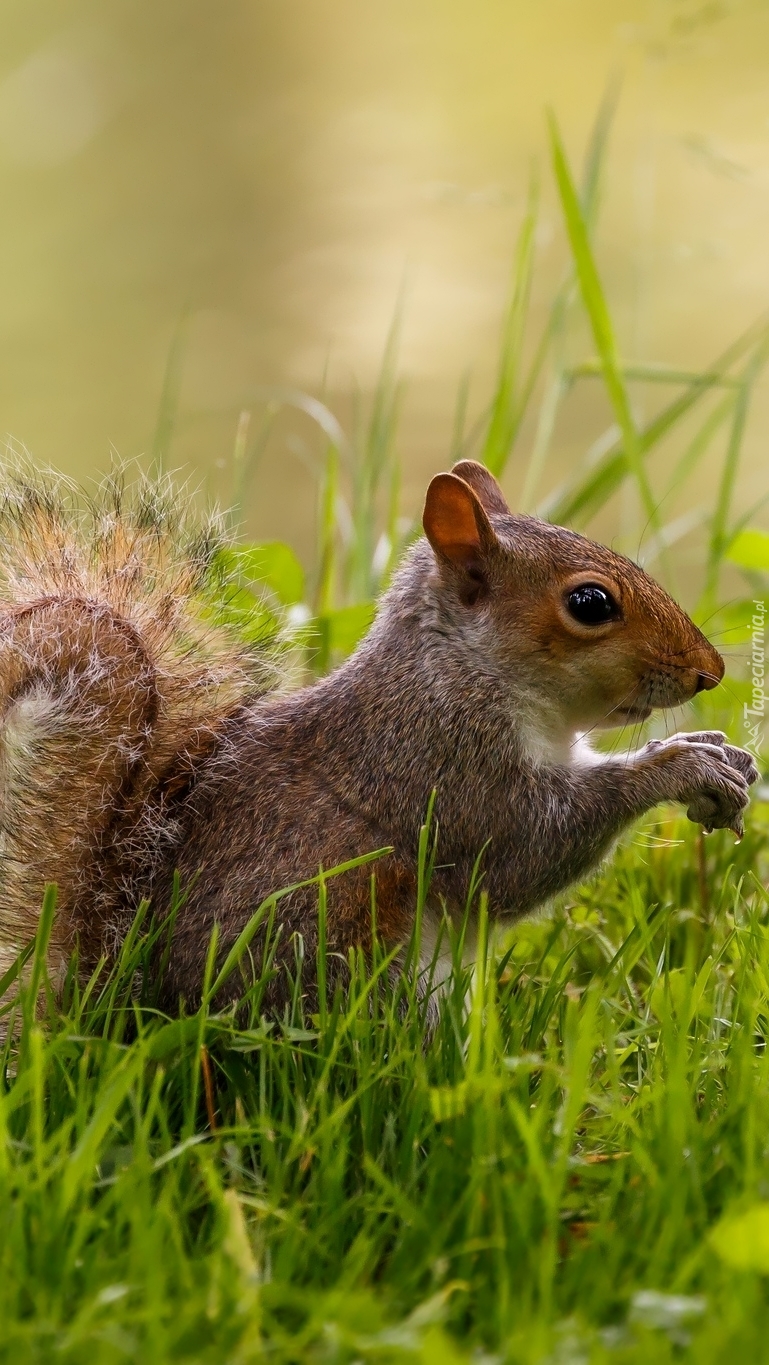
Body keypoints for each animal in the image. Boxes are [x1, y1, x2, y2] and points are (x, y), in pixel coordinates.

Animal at [0, 464, 759, 1010]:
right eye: (590, 602)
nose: (711, 671)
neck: (462, 672)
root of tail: (126, 1007)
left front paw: (721, 752)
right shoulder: (443, 771)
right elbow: (524, 854)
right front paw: (677, 766)